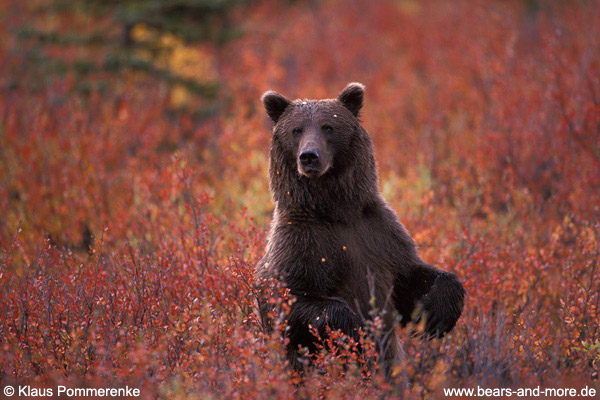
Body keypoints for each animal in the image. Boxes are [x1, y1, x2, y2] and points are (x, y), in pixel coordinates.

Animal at [253, 82, 464, 378]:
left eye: (328, 126)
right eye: (296, 129)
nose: (309, 156)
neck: (337, 211)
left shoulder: (379, 233)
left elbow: (411, 276)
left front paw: (437, 314)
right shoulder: (300, 242)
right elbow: (283, 298)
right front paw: (352, 328)